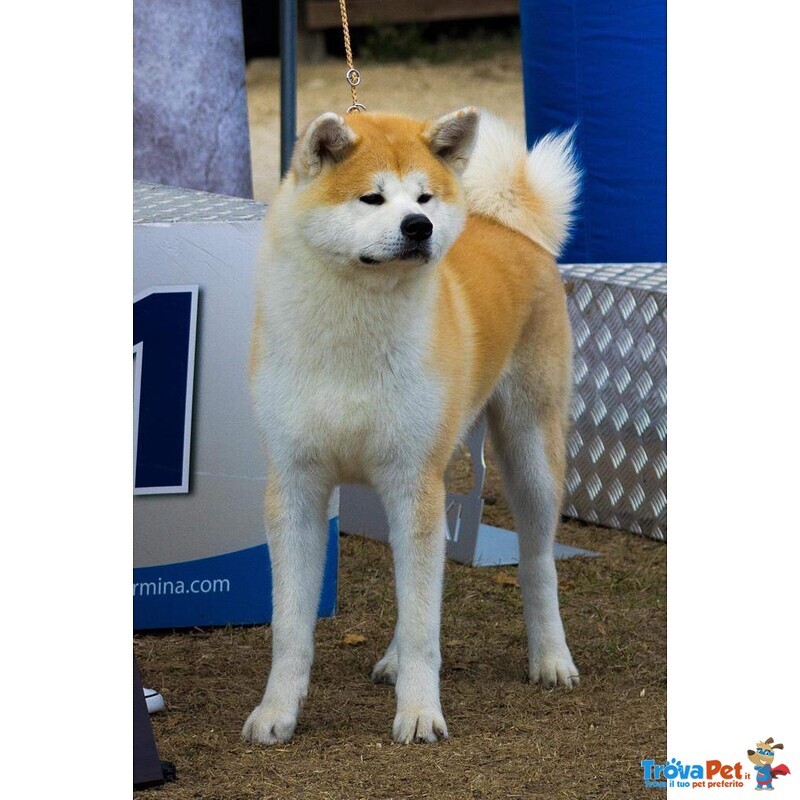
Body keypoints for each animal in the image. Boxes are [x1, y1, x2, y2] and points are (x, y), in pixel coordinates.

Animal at [241, 106, 580, 744]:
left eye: (423, 197)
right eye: (372, 198)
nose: (419, 226)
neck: (355, 330)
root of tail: (510, 227)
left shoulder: (411, 481)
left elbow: (426, 624)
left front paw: (421, 713)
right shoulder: (297, 485)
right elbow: (290, 625)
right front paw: (276, 712)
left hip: (529, 454)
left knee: (538, 564)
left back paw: (551, 657)